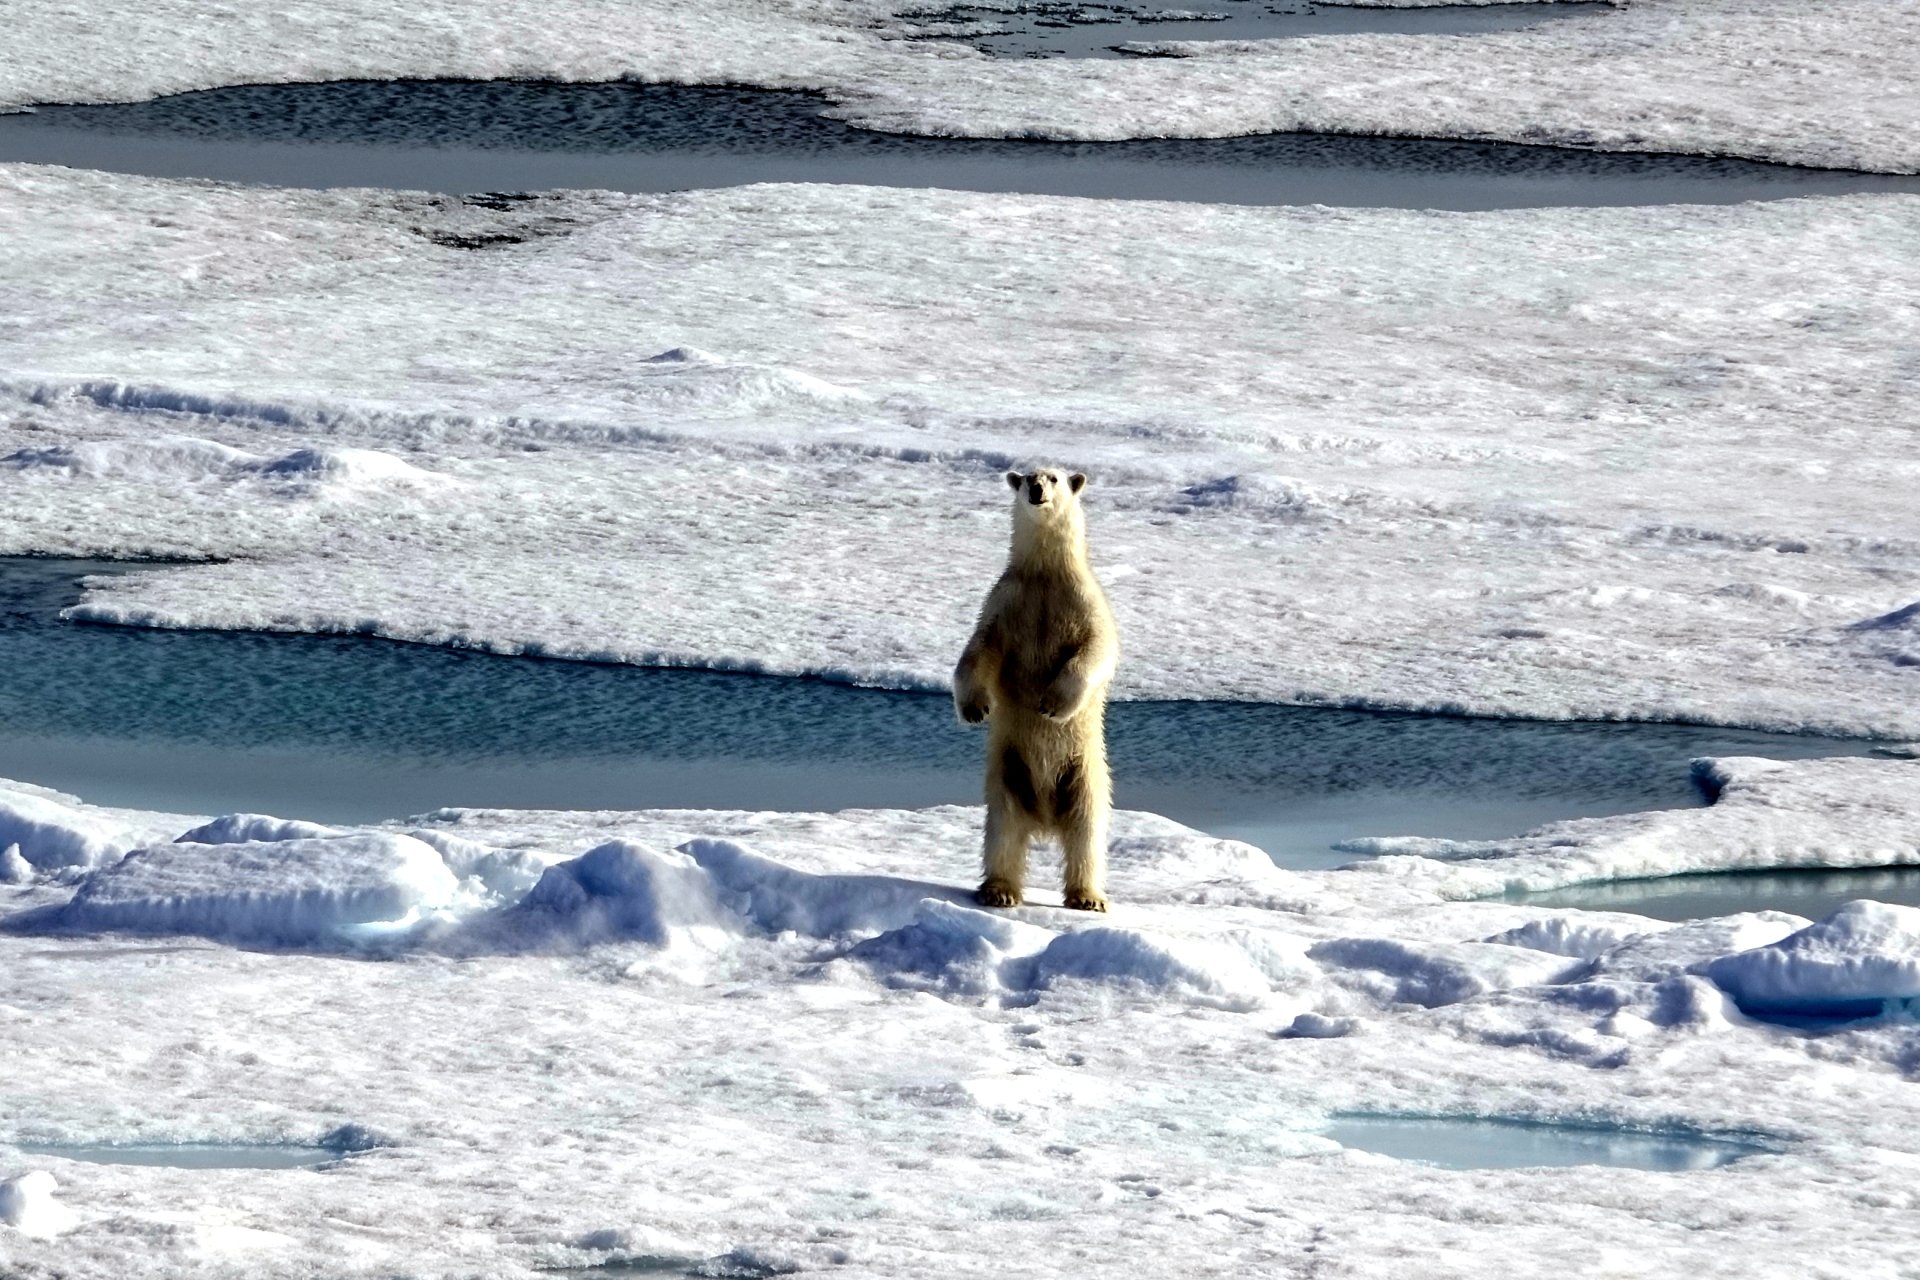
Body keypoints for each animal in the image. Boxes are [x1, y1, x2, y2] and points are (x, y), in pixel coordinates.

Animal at [952, 470, 1121, 909]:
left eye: (1055, 477)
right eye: (1028, 475)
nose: (1037, 490)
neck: (1046, 575)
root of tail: (1045, 818)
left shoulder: (1083, 600)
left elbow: (1096, 649)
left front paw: (1052, 703)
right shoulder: (1006, 601)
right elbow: (979, 649)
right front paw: (975, 708)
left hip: (1084, 773)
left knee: (1087, 832)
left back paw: (1087, 896)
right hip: (1008, 772)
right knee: (1003, 830)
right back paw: (999, 890)